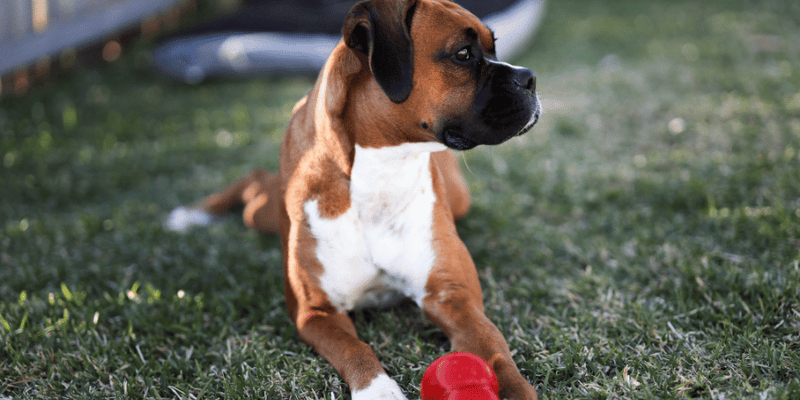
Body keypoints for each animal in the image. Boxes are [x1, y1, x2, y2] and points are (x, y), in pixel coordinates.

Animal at [169, 0, 544, 396]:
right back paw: (191, 215)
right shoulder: (316, 312)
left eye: (493, 48)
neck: (381, 172)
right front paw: (378, 390)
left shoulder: (453, 298)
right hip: (263, 213)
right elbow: (355, 348)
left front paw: (515, 388)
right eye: (463, 54)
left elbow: (493, 345)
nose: (529, 78)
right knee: (254, 182)